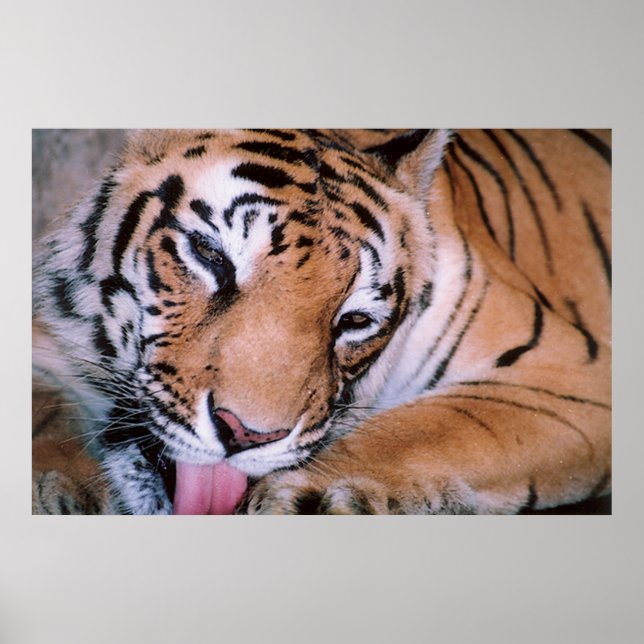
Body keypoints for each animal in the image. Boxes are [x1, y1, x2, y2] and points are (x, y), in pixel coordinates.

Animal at [32, 128, 611, 515]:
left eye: (353, 320)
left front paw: (303, 493)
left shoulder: (572, 374)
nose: (245, 436)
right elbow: (44, 407)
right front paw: (58, 487)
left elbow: (426, 429)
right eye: (211, 256)